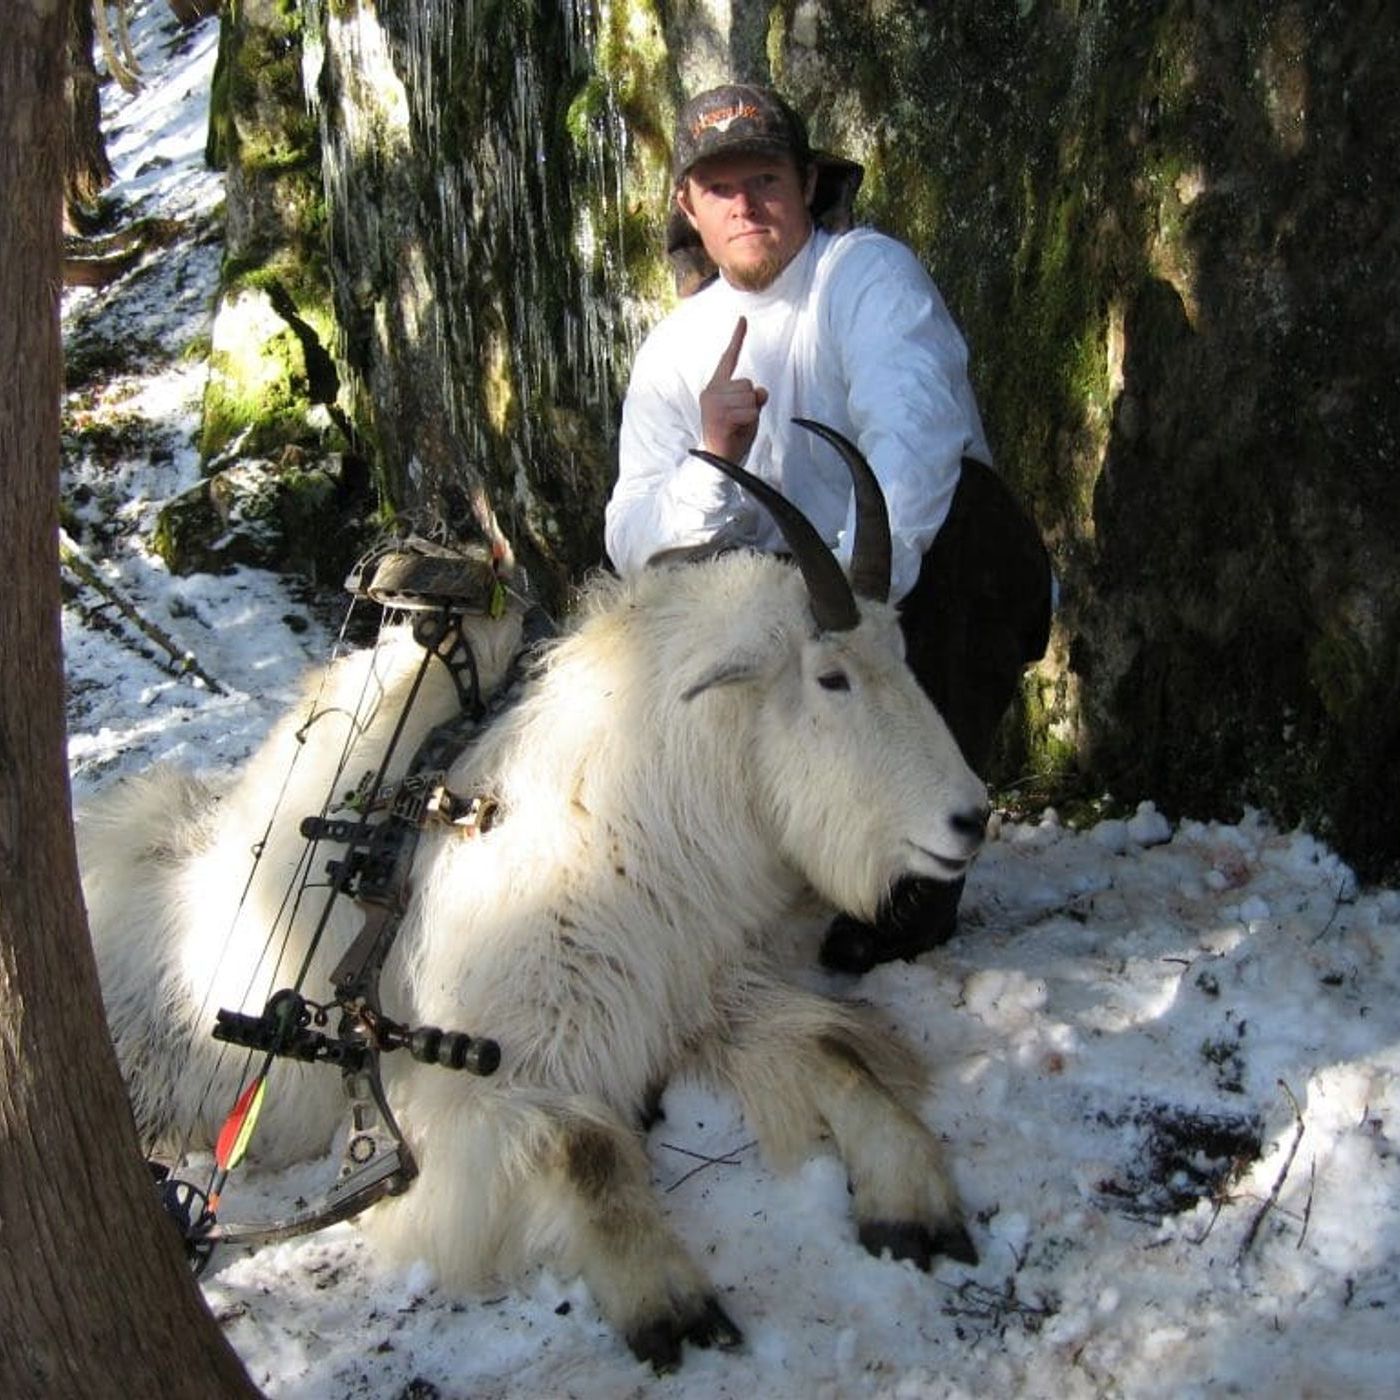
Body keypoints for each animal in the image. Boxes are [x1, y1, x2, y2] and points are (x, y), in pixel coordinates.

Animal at [80, 422, 990, 1371]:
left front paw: (913, 1206)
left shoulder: (696, 994)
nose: (971, 818)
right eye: (830, 678)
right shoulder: (480, 1071)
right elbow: (583, 1149)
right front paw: (673, 1307)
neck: (624, 817)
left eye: (903, 657)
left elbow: (841, 1056)